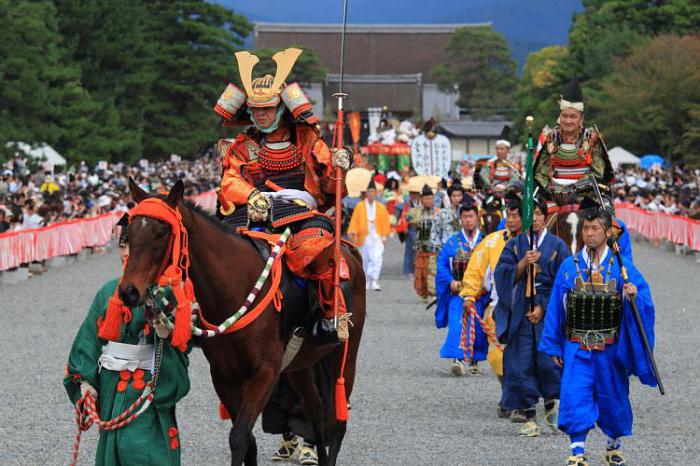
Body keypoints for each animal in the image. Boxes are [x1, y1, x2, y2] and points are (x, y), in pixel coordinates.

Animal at [119, 180, 366, 466]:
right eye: (129, 234)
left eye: (161, 232)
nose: (129, 292)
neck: (234, 288)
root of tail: (349, 252)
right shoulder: (224, 375)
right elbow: (248, 439)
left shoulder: (265, 373)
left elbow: (239, 437)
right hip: (299, 361)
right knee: (314, 406)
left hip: (346, 352)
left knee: (336, 421)